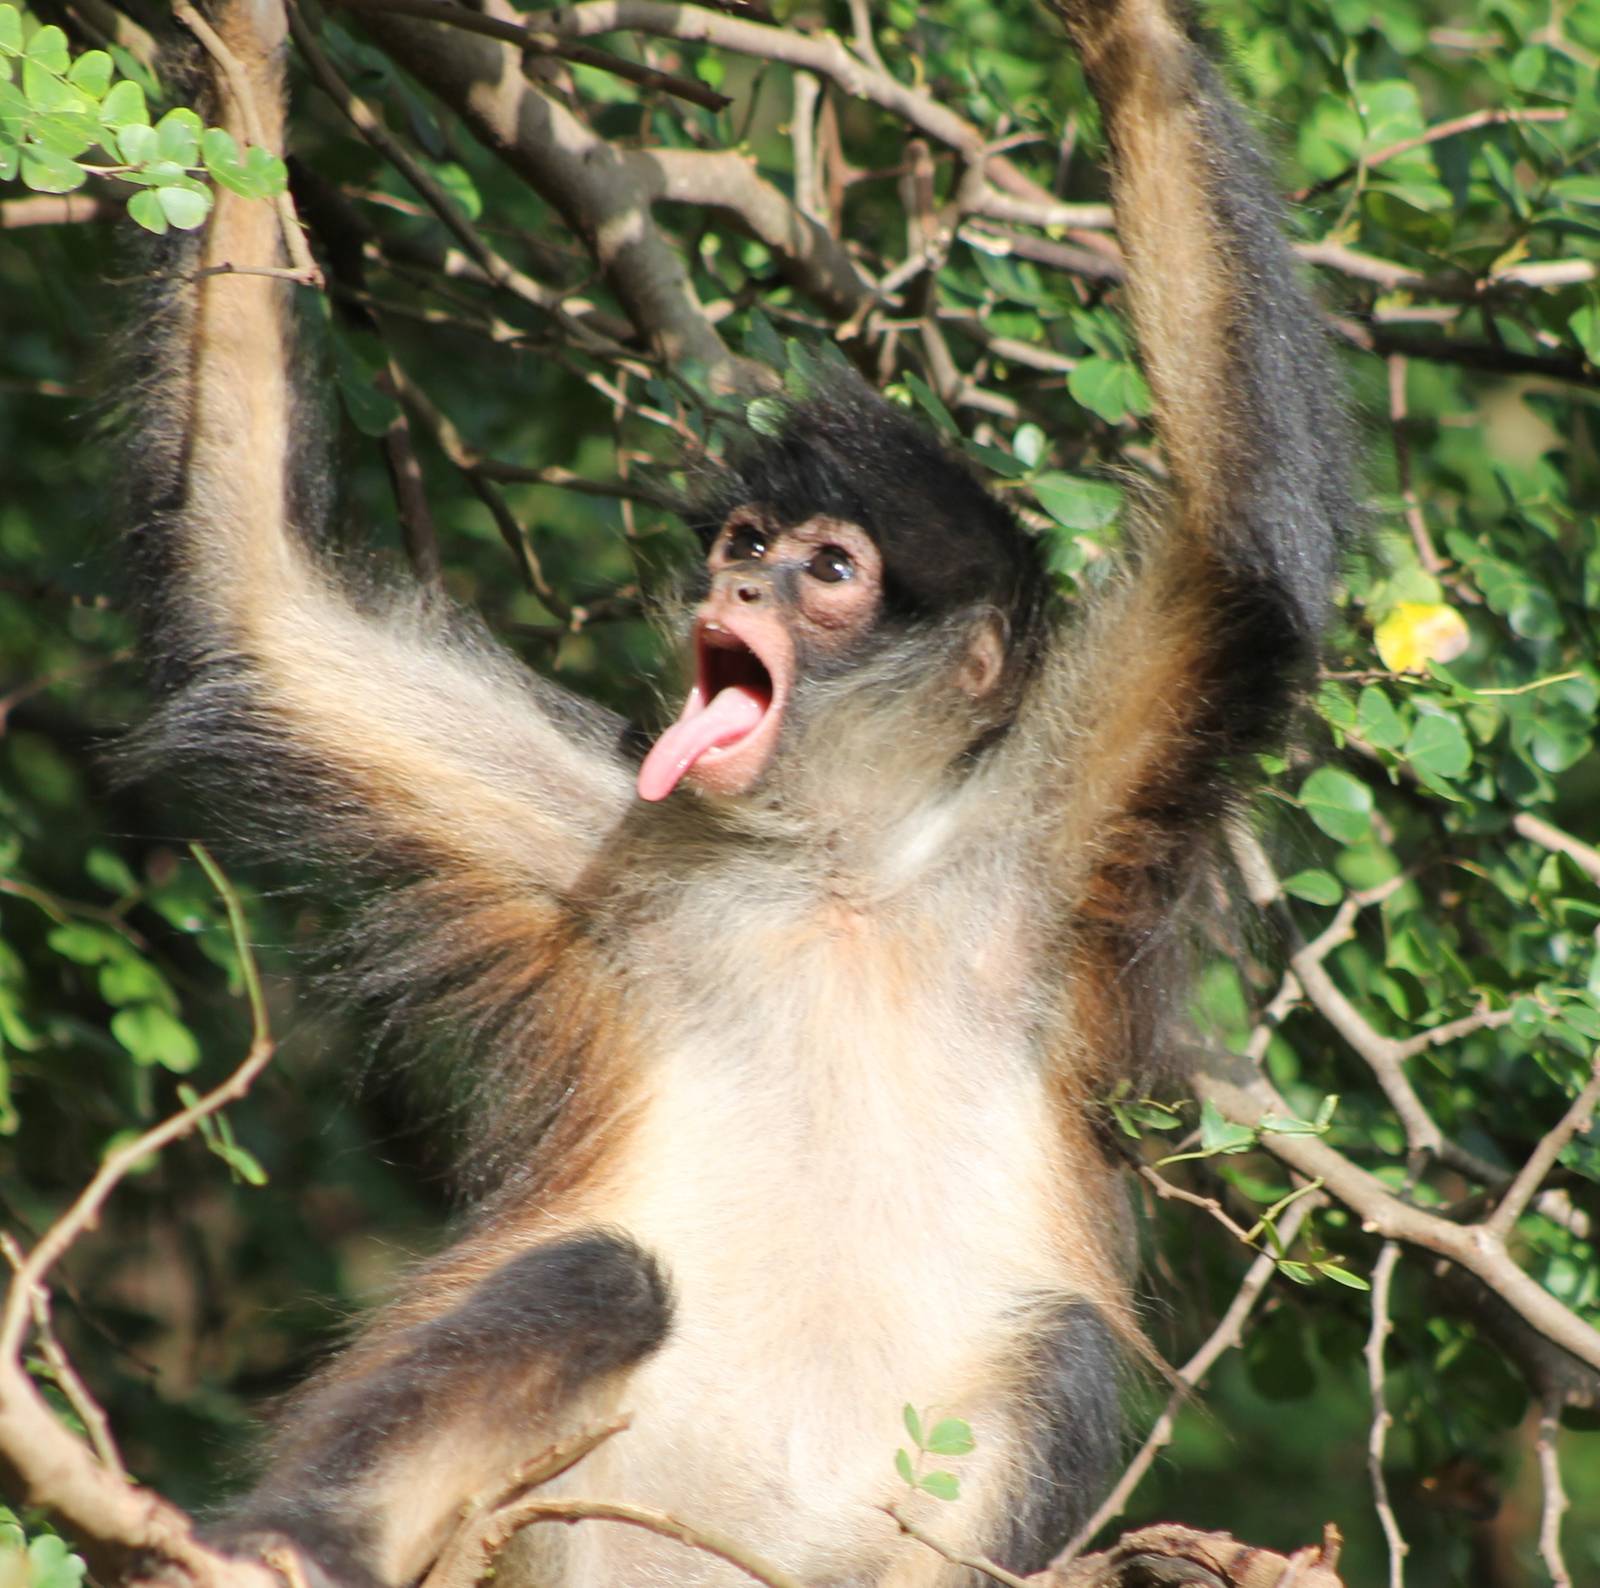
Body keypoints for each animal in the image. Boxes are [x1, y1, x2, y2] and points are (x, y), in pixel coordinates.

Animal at [121, 0, 1352, 1583]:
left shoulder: (1064, 846)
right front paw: (245, 45)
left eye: (828, 569)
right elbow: (253, 602)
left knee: (1065, 1351)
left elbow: (1242, 564)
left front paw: (1124, 39)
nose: (743, 588)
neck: (841, 869)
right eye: (747, 544)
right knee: (606, 1277)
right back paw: (301, 1539)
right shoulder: (616, 856)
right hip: (539, 1527)